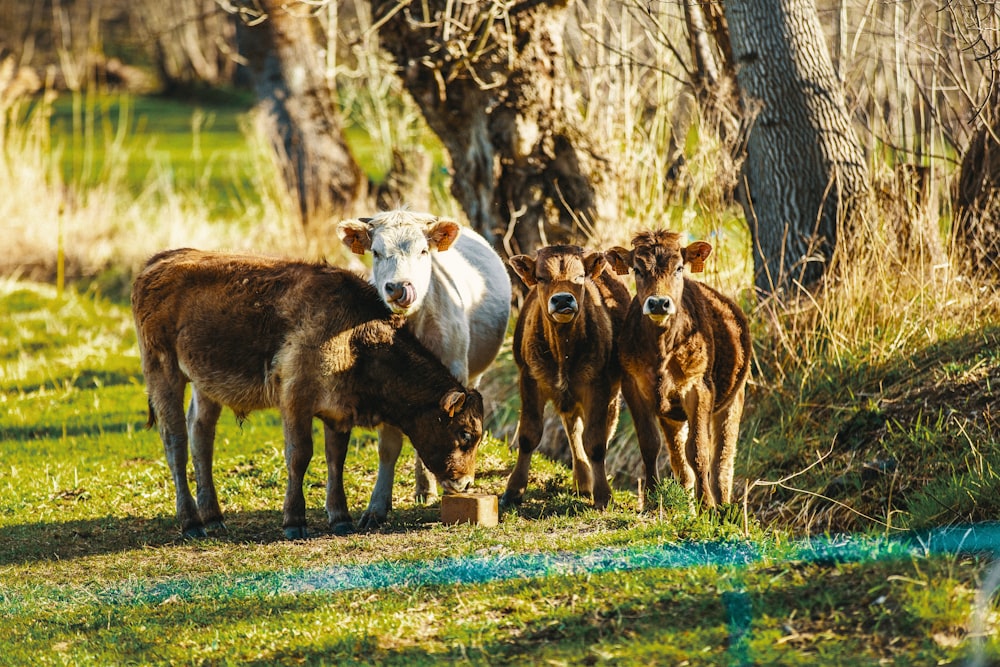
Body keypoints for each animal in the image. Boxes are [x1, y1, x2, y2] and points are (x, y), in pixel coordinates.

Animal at [130, 248, 484, 540]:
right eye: (465, 434)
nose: (466, 482)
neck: (356, 338)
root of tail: (160, 260)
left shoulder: (338, 411)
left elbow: (335, 459)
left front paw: (340, 517)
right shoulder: (295, 400)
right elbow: (300, 456)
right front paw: (294, 520)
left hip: (206, 384)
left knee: (201, 437)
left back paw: (213, 517)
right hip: (163, 370)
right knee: (175, 442)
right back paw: (191, 522)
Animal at [338, 211, 512, 528]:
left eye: (422, 251)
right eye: (376, 252)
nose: (399, 287)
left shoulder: (455, 375)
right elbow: (388, 448)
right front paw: (377, 506)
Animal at [504, 245, 628, 512]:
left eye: (579, 277)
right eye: (541, 278)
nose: (562, 299)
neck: (563, 348)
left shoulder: (599, 387)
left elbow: (596, 443)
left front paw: (603, 496)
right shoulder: (529, 379)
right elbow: (528, 435)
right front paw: (513, 491)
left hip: (611, 396)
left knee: (598, 431)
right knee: (572, 429)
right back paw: (582, 480)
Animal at [600, 232, 752, 508]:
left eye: (679, 268)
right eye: (637, 269)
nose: (659, 303)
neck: (662, 350)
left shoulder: (699, 388)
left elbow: (699, 450)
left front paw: (706, 506)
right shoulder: (633, 385)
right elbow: (649, 444)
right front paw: (650, 500)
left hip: (734, 398)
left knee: (722, 460)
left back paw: (723, 507)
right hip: (671, 413)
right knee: (680, 464)